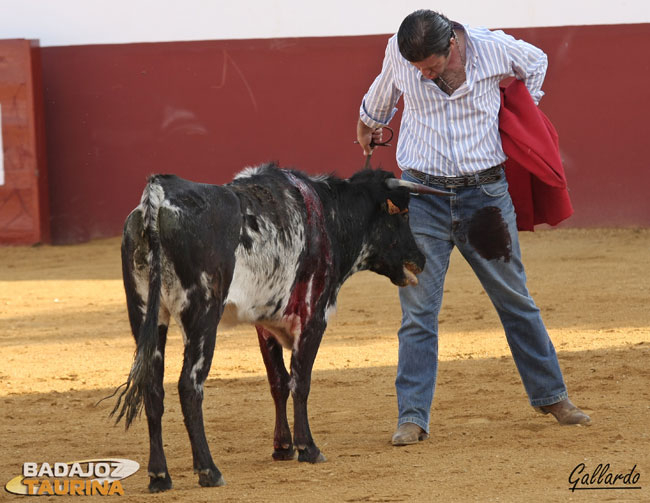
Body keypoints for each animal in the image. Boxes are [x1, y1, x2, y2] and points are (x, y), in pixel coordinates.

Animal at [111, 162, 448, 492]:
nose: (421, 259)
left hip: (146, 315)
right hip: (202, 317)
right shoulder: (314, 316)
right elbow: (301, 381)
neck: (329, 216)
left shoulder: (265, 323)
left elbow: (278, 381)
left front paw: (283, 447)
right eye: (403, 215)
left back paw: (159, 476)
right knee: (188, 386)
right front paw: (308, 447)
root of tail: (158, 198)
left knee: (153, 387)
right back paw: (209, 470)